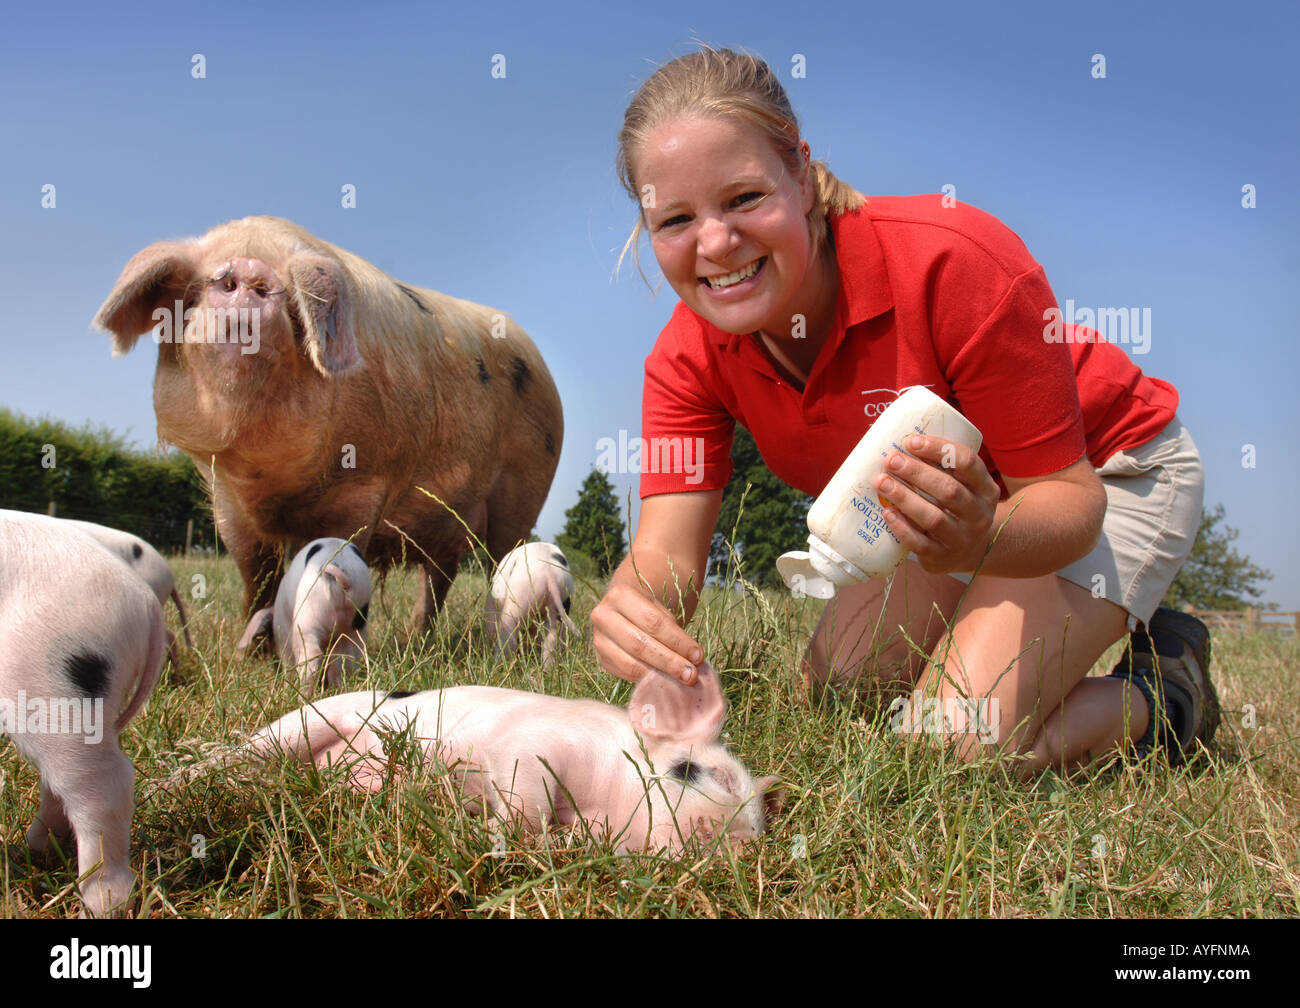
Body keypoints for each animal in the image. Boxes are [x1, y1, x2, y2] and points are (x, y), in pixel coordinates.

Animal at [91, 217, 559, 629]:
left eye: (292, 303)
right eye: (205, 281)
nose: (248, 270)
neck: (266, 479)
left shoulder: (363, 486)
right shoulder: (226, 499)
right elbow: (257, 575)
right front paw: (253, 656)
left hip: (524, 492)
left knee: (500, 563)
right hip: (449, 520)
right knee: (439, 575)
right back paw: (417, 638)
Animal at [237, 665, 774, 853]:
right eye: (721, 777)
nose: (749, 845)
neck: (604, 803)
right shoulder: (537, 741)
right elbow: (528, 795)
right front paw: (484, 833)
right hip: (312, 719)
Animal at [239, 535, 374, 702]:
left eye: (269, 639)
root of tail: (340, 569)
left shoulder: (283, 632)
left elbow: (288, 661)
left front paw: (285, 687)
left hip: (308, 617)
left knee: (312, 657)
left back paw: (300, 698)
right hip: (354, 626)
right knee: (342, 661)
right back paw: (337, 691)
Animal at [486, 543, 577, 671]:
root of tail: (549, 573)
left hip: (518, 597)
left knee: (508, 636)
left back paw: (498, 667)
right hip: (557, 604)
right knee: (551, 638)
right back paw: (547, 670)